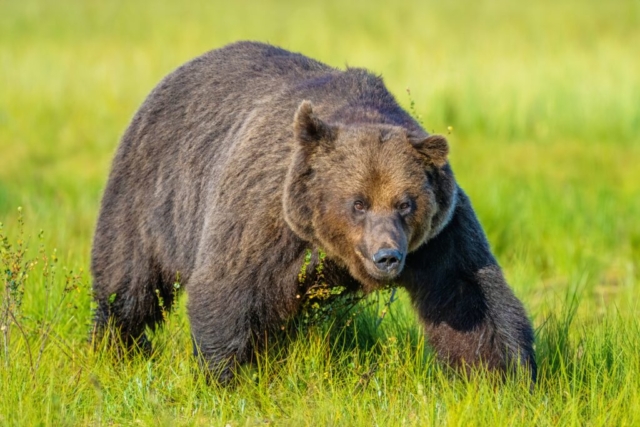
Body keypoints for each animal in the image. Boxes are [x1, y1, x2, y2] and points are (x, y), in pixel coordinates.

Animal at [92, 40, 536, 382]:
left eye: (405, 203)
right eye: (357, 203)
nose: (387, 256)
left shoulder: (440, 235)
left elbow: (470, 295)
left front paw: (504, 378)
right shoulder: (267, 213)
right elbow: (228, 288)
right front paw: (225, 376)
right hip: (150, 193)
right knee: (127, 281)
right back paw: (117, 346)